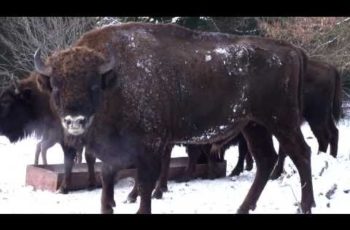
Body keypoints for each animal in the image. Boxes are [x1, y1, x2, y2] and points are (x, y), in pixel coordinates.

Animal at [34, 22, 314, 214]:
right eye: (56, 86)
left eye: (93, 85)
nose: (74, 121)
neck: (115, 83)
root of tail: (292, 50)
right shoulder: (114, 152)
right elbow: (107, 186)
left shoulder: (150, 146)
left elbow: (144, 184)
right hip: (254, 125)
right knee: (266, 160)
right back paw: (243, 208)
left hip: (281, 121)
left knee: (301, 153)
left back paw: (306, 205)